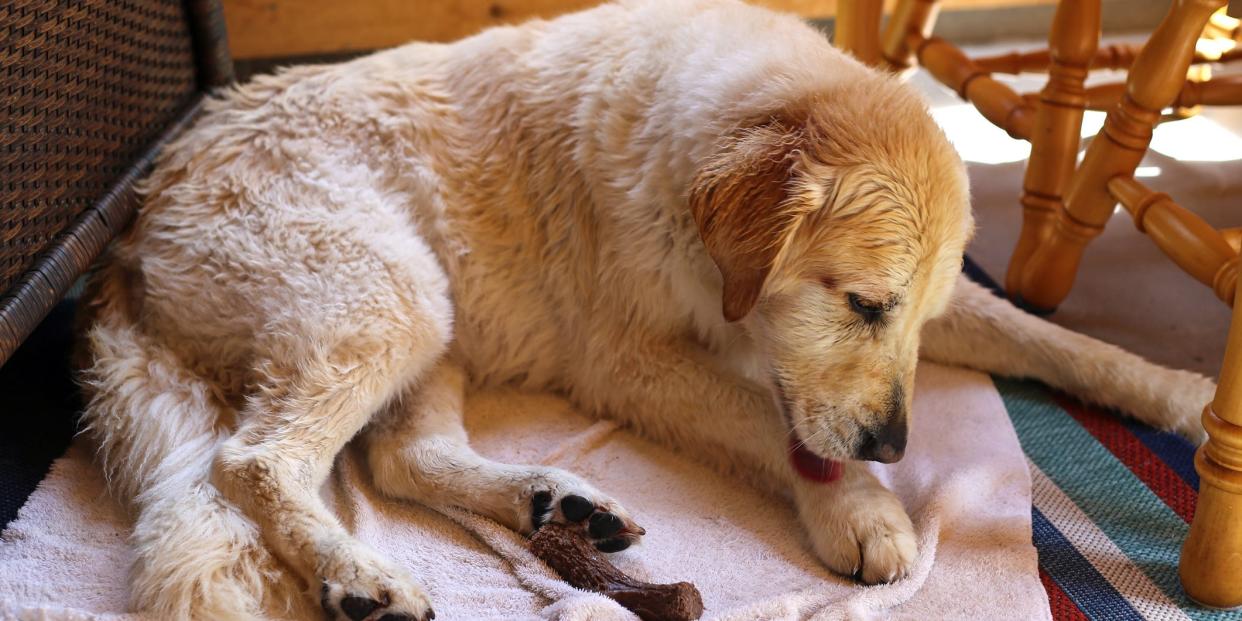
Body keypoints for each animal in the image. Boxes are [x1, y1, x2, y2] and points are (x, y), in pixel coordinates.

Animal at [80, 2, 1222, 618]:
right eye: (862, 304)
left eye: (912, 315)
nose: (897, 446)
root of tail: (140, 218)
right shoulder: (631, 361)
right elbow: (771, 420)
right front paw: (861, 509)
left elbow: (1049, 336)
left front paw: (1178, 389)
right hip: (389, 298)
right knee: (255, 462)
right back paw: (360, 571)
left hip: (431, 319)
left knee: (398, 459)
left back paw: (554, 503)